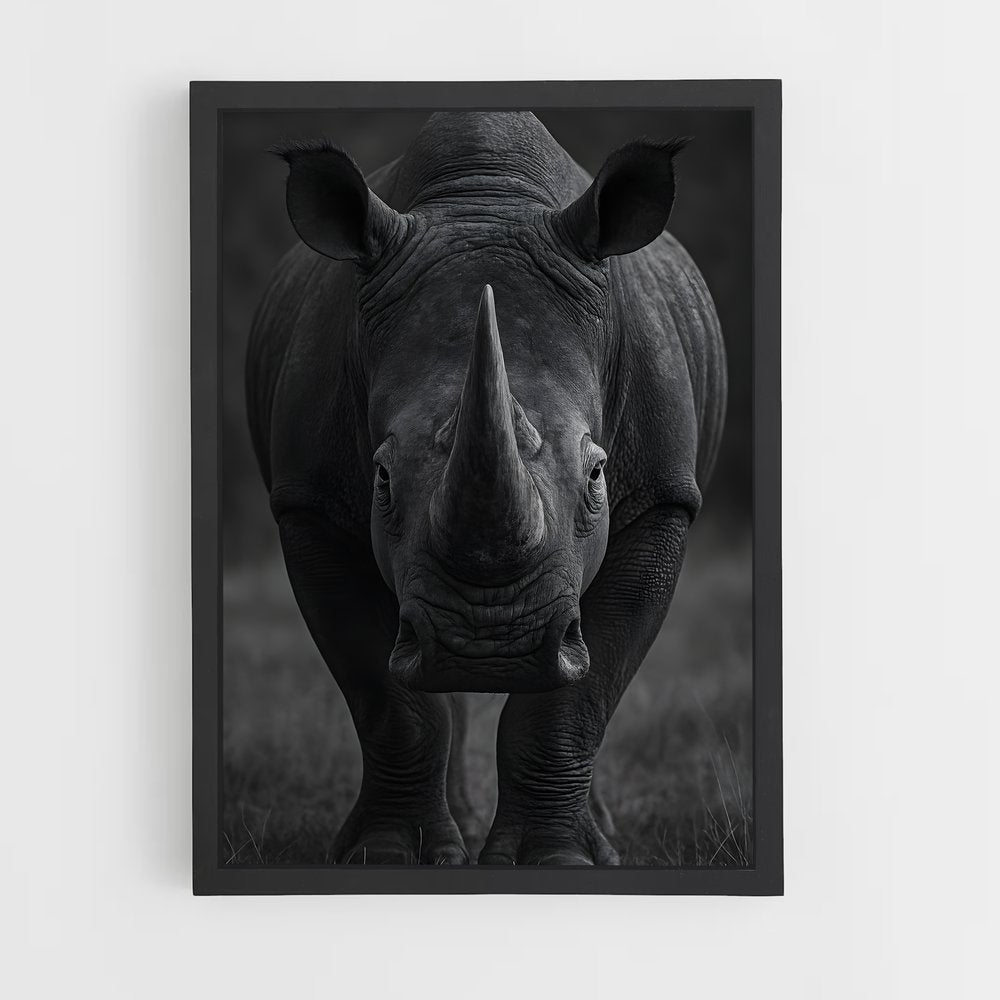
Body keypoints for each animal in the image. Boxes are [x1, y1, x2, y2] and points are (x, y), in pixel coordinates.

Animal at [246, 111, 726, 865]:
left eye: (598, 473)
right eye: (381, 478)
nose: (491, 647)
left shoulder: (661, 500)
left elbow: (579, 694)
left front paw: (557, 860)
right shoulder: (309, 504)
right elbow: (387, 697)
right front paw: (390, 855)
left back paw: (601, 839)